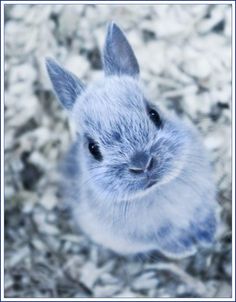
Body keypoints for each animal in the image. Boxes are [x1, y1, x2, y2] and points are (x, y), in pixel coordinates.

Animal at [46, 21, 219, 258]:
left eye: (154, 114)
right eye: (92, 148)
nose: (142, 164)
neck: (158, 189)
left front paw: (209, 234)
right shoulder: (152, 233)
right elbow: (167, 238)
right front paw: (186, 248)